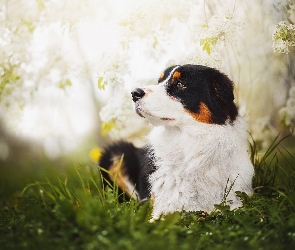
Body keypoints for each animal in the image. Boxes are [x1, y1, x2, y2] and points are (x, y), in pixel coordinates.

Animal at [99, 64, 254, 219]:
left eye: (180, 84)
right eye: (159, 81)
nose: (134, 93)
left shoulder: (237, 199)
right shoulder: (160, 205)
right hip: (117, 152)